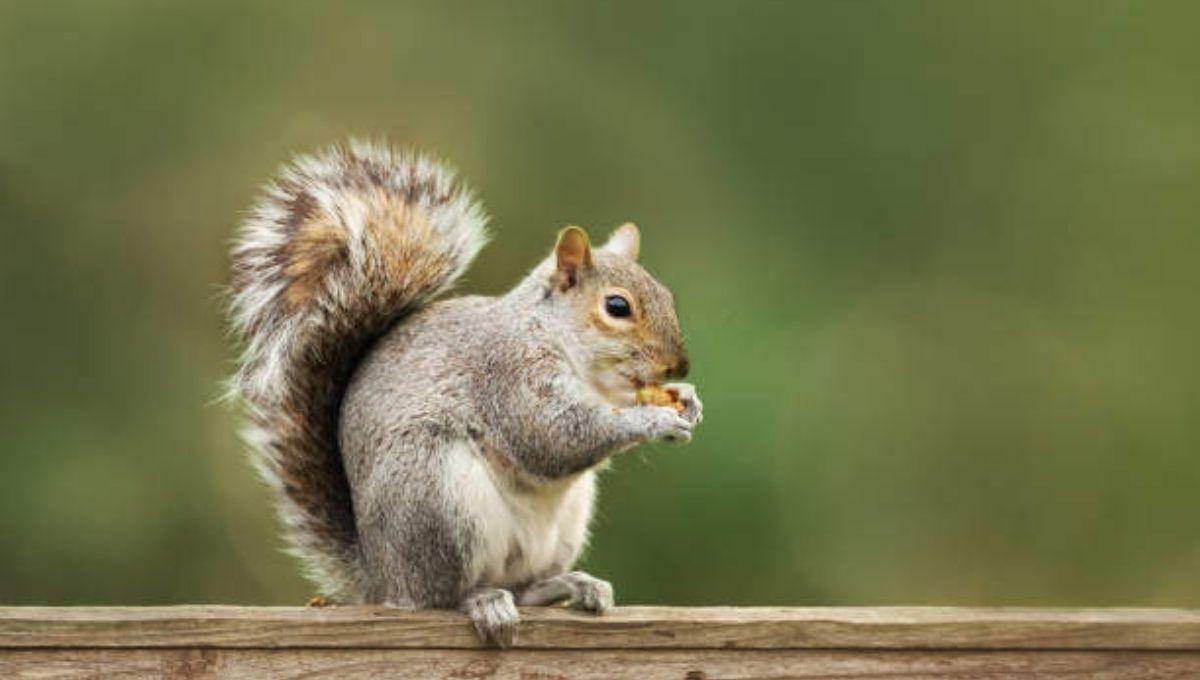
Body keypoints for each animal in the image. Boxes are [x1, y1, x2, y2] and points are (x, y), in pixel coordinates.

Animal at [227, 140, 702, 647]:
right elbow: (553, 438)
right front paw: (654, 420)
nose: (678, 366)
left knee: (524, 587)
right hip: (435, 495)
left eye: (667, 296)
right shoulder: (509, 375)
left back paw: (569, 585)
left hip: (562, 523)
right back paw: (482, 601)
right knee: (441, 595)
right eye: (617, 306)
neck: (568, 350)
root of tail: (382, 578)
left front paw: (685, 398)